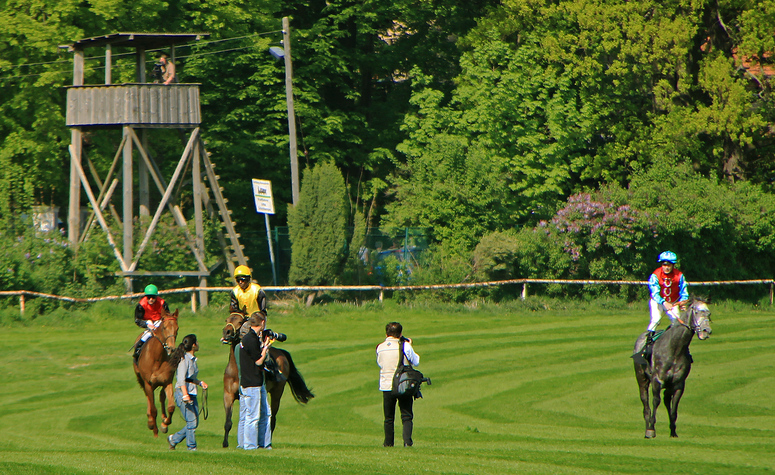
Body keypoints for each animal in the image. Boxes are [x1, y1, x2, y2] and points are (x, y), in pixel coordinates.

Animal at [135, 308, 182, 438]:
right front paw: (155, 431)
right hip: (142, 381)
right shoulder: (148, 383)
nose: (171, 348)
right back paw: (150, 421)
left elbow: (171, 407)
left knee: (161, 396)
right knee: (148, 398)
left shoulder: (167, 381)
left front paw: (164, 424)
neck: (156, 358)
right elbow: (153, 409)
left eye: (177, 328)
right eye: (164, 327)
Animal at [220, 314, 314, 448]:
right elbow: (228, 421)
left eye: (240, 321)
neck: (236, 369)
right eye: (227, 320)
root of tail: (281, 353)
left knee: (273, 419)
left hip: (277, 393)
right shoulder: (228, 395)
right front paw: (225, 443)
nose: (226, 332)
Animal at [632, 298, 712, 438]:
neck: (674, 348)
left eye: (709, 314)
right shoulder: (657, 380)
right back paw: (647, 428)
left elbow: (674, 408)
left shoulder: (678, 384)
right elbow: (655, 401)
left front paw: (673, 431)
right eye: (696, 312)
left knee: (666, 399)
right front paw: (651, 429)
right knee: (645, 402)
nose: (706, 331)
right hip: (641, 378)